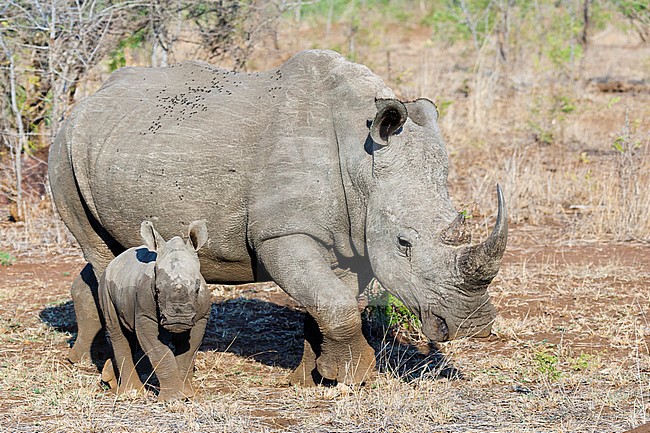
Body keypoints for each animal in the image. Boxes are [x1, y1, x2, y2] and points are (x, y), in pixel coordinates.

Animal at [99, 220, 210, 401]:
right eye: (157, 290)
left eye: (197, 288)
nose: (178, 319)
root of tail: (116, 260)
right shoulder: (145, 315)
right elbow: (159, 351)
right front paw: (172, 398)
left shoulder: (201, 318)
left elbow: (189, 352)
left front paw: (186, 395)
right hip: (105, 284)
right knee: (117, 332)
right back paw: (131, 393)